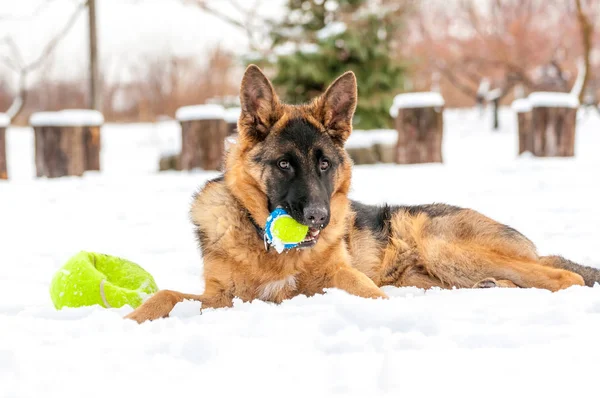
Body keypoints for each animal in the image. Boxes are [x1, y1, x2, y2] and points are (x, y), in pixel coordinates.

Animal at [124, 65, 596, 324]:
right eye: (284, 164)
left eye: (324, 164)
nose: (319, 217)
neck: (273, 250)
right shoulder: (220, 298)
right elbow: (165, 295)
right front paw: (130, 318)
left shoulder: (344, 279)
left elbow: (370, 294)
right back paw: (489, 289)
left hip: (444, 247)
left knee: (563, 277)